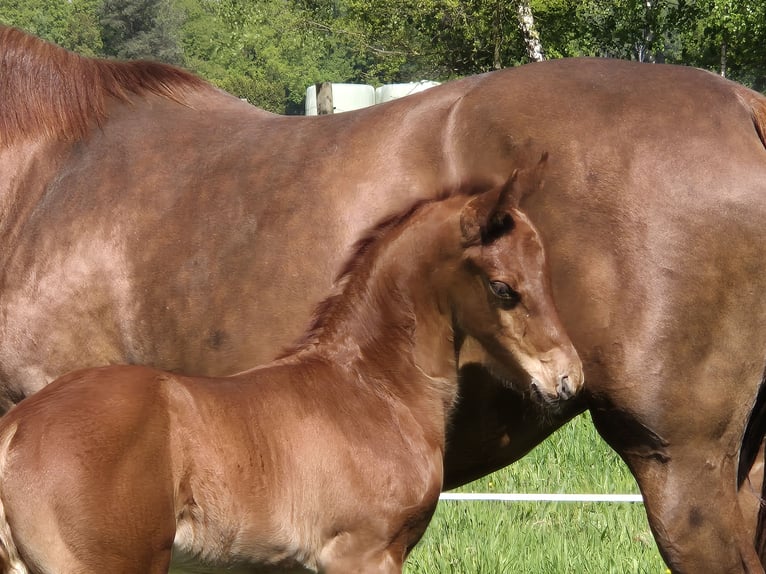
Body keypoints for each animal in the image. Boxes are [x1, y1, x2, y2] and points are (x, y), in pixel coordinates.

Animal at [0, 163, 584, 574]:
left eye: (547, 271)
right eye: (503, 288)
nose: (567, 378)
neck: (373, 389)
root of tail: (15, 429)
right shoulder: (364, 553)